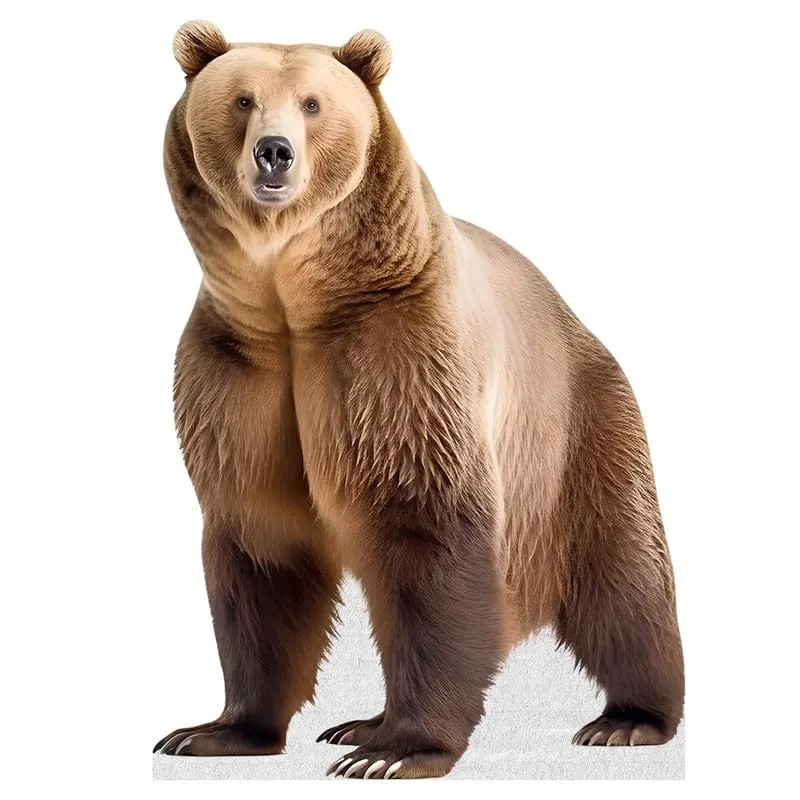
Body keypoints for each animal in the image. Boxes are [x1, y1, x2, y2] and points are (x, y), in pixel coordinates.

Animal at [153, 21, 685, 779]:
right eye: (242, 99)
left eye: (313, 104)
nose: (274, 151)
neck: (292, 300)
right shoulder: (236, 369)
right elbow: (259, 543)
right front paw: (218, 730)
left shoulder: (398, 351)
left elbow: (426, 524)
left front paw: (397, 751)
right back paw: (356, 722)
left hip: (576, 435)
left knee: (622, 574)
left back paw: (629, 718)